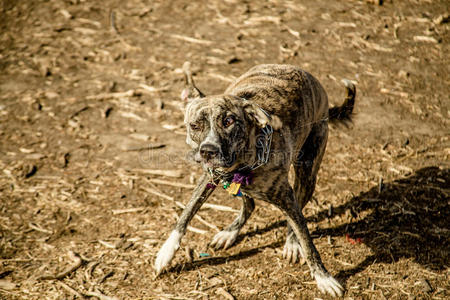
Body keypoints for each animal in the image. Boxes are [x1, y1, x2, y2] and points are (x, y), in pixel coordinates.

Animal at [155, 62, 356, 296]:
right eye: (194, 125)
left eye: (229, 121)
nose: (208, 151)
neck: (243, 161)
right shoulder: (209, 177)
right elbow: (186, 213)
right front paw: (165, 253)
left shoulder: (286, 197)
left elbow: (306, 240)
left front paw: (323, 278)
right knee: (249, 205)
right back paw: (229, 233)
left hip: (307, 175)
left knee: (295, 211)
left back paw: (291, 242)